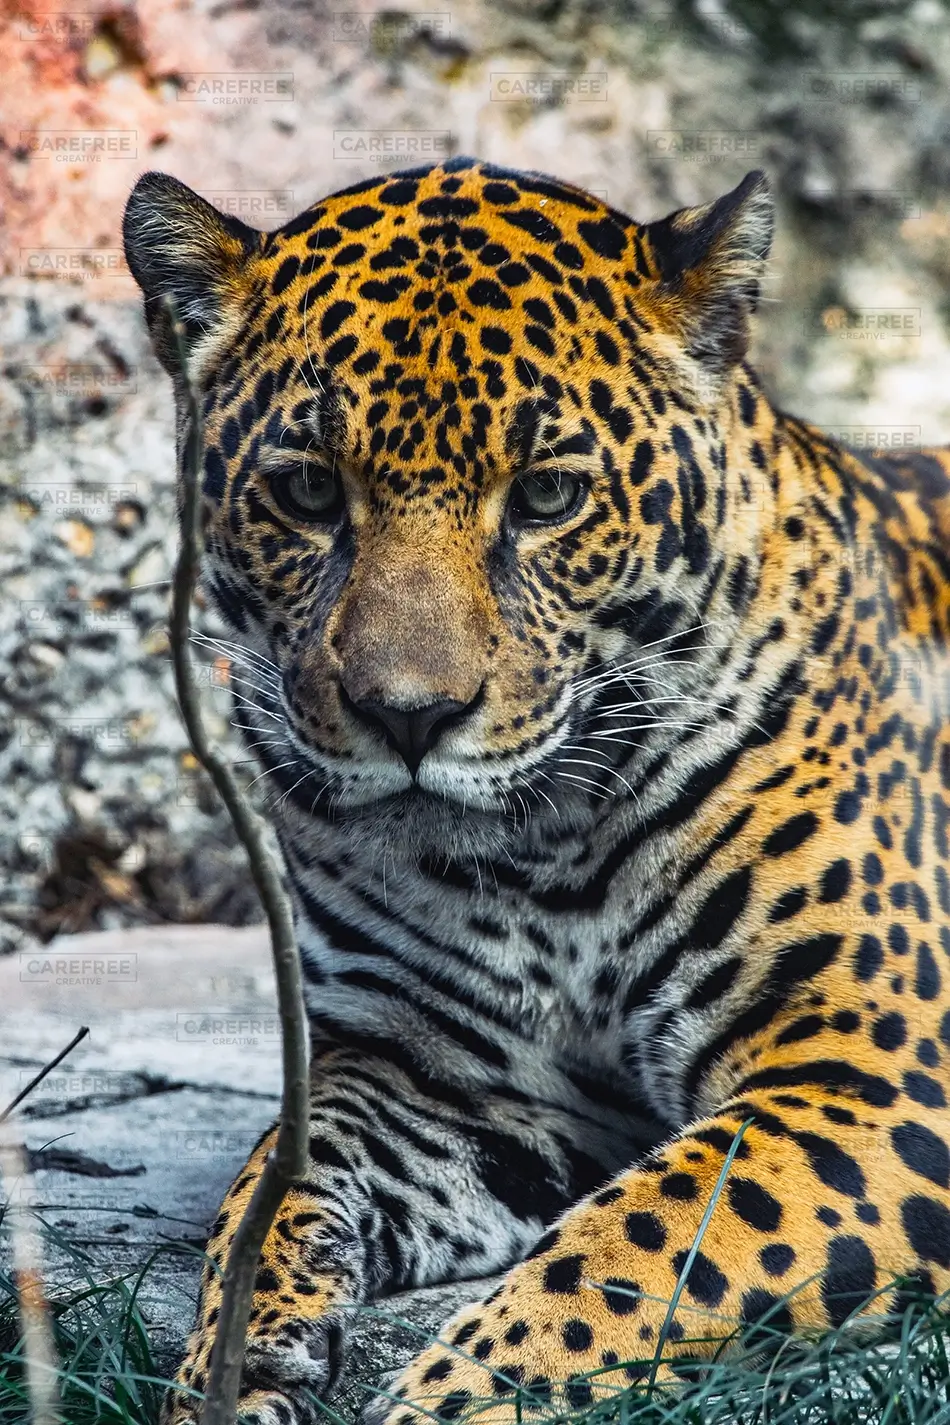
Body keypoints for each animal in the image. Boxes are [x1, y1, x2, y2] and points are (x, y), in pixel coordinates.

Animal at [123, 157, 950, 1425]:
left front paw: (450, 1399)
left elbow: (647, 1245)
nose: (408, 714)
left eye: (548, 497)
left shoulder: (870, 1064)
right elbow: (279, 1178)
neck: (539, 856)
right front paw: (238, 1359)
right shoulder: (444, 1081)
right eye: (307, 492)